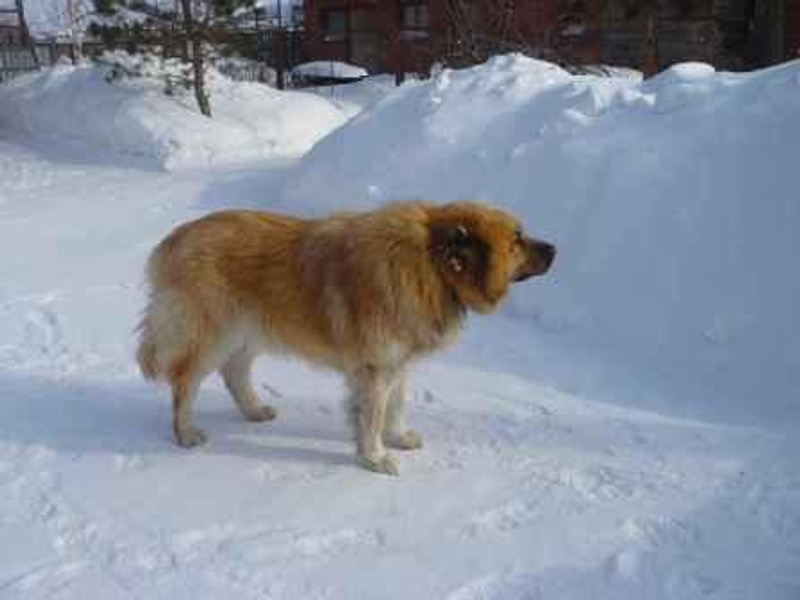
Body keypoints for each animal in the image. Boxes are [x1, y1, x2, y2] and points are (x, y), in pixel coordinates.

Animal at [136, 201, 555, 475]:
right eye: (516, 240)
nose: (554, 248)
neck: (431, 267)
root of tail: (174, 238)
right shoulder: (374, 368)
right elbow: (371, 415)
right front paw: (374, 457)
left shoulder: (396, 363)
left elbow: (395, 406)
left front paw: (397, 436)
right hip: (213, 335)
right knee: (184, 384)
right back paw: (186, 432)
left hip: (250, 332)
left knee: (234, 372)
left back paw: (254, 411)